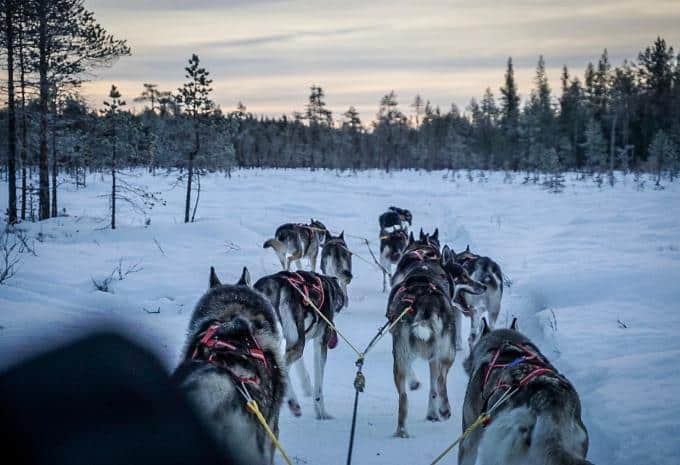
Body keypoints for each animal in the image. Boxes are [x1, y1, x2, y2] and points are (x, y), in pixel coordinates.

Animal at [254, 270, 346, 418]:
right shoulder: (319, 343)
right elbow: (318, 384)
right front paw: (322, 413)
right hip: (296, 344)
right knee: (280, 366)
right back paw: (293, 403)